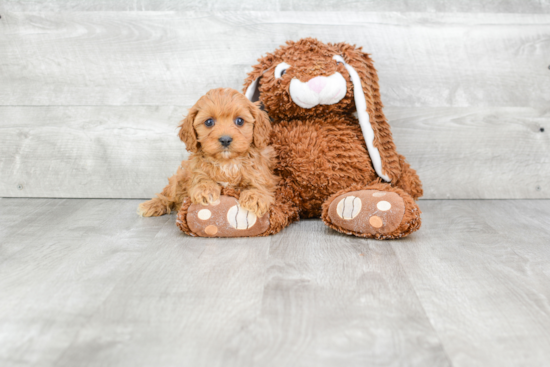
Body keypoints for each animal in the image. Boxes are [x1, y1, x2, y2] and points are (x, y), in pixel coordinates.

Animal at [136, 87, 278, 220]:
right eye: (209, 122)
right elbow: (201, 177)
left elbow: (260, 184)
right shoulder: (196, 169)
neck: (227, 162)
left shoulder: (260, 172)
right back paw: (152, 205)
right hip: (180, 178)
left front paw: (256, 197)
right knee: (168, 194)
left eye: (240, 121)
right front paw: (205, 190)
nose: (225, 139)